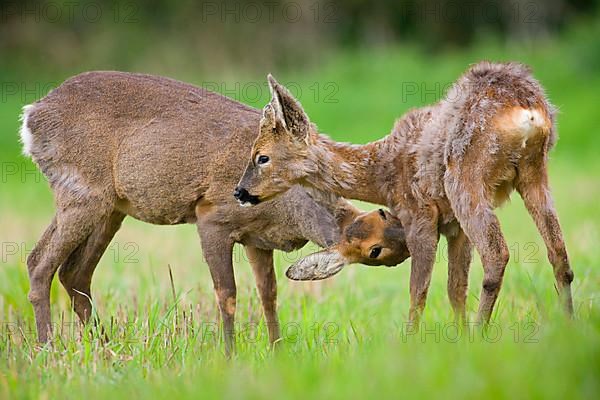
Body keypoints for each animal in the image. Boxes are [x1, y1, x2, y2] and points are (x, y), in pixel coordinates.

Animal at [21, 71, 410, 354]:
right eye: (375, 250)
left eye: (388, 214)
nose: (410, 246)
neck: (289, 210)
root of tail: (31, 116)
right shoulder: (211, 218)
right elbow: (228, 293)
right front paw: (230, 355)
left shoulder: (258, 240)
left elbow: (268, 294)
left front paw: (278, 351)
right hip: (82, 192)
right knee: (39, 262)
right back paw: (49, 350)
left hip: (109, 207)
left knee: (74, 273)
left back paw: (106, 349)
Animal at [237, 61, 576, 324]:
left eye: (261, 156)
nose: (240, 192)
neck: (382, 175)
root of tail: (527, 109)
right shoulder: (454, 227)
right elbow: (455, 289)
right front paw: (461, 340)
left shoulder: (419, 214)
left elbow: (418, 292)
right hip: (535, 173)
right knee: (559, 255)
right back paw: (568, 326)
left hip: (465, 179)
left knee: (497, 255)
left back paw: (484, 331)